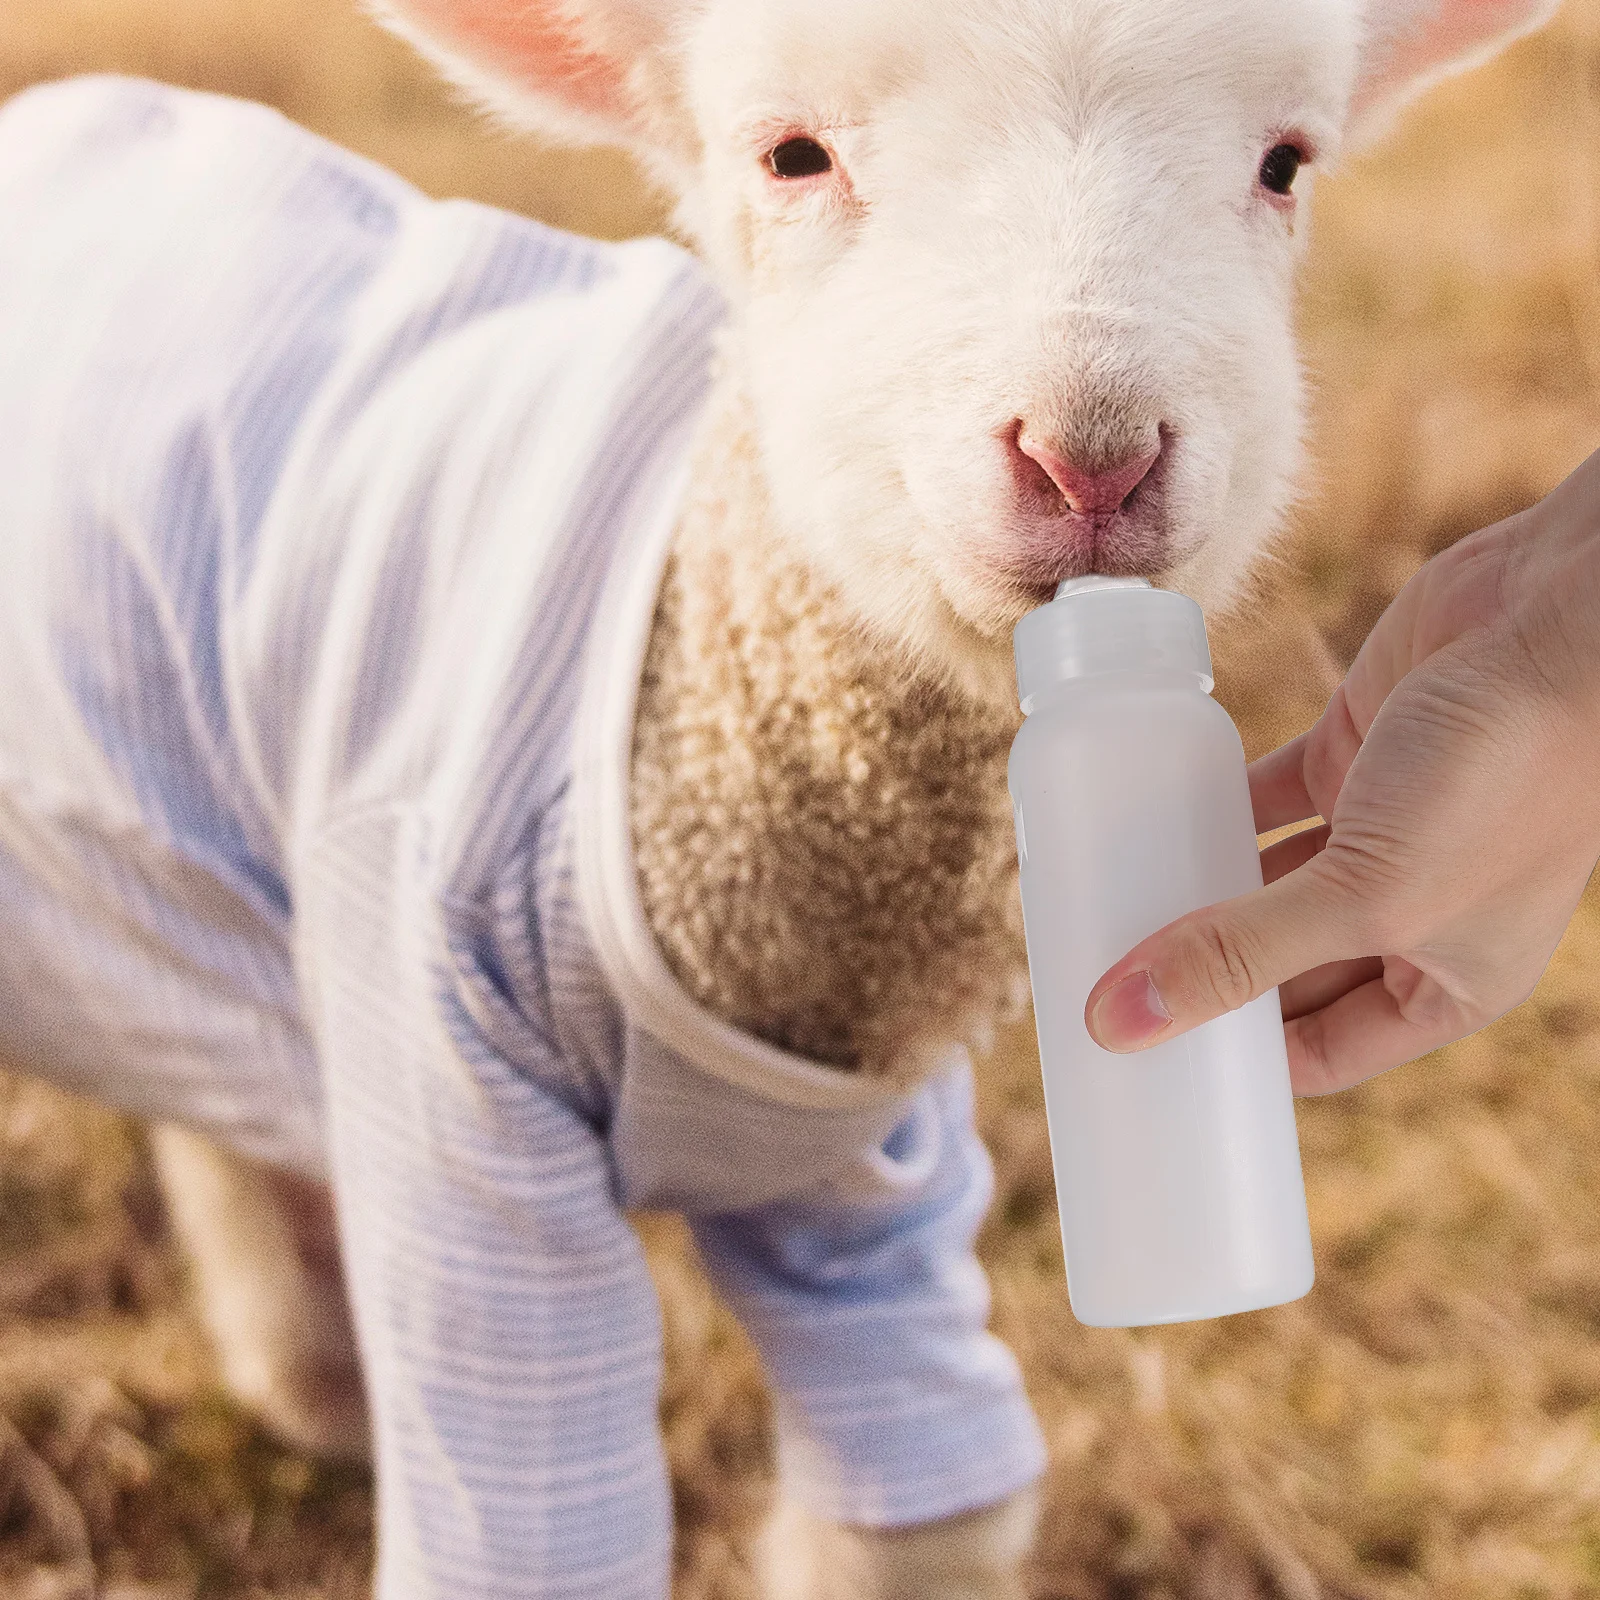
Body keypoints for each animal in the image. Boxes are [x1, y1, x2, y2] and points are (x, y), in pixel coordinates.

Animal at [0, 0, 1556, 1595]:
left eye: (1285, 163)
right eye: (790, 157)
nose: (1090, 459)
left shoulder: (877, 1177)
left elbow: (922, 1511)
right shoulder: (458, 1118)